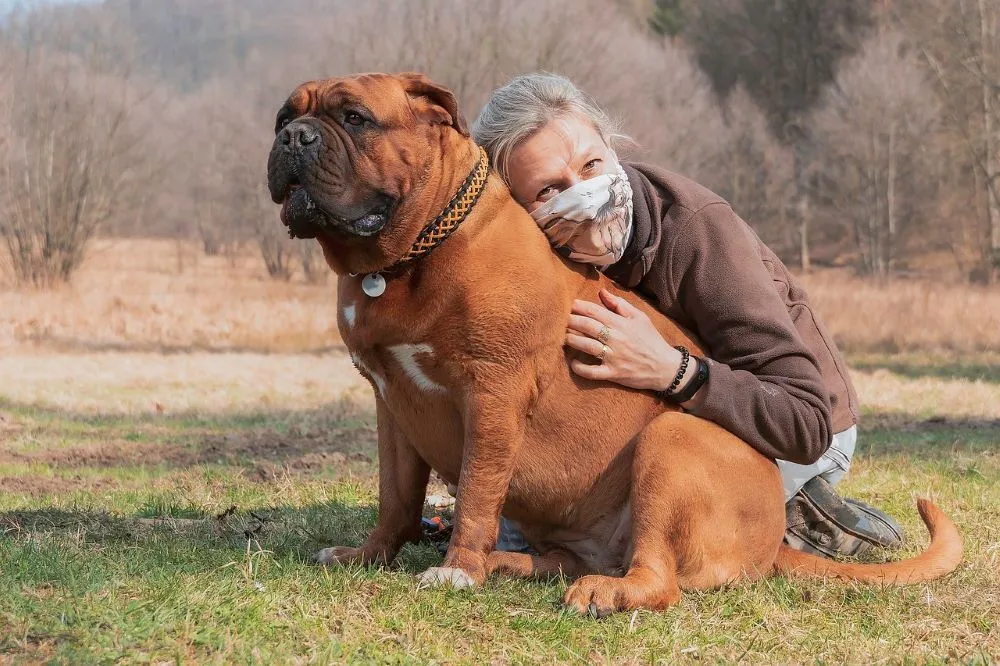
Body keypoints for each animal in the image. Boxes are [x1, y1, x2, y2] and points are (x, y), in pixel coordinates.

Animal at [266, 71, 960, 612]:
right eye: (285, 115)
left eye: (353, 118)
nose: (292, 137)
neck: (405, 260)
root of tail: (771, 544)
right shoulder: (390, 401)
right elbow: (395, 497)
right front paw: (369, 554)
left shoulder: (491, 392)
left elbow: (478, 493)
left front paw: (456, 567)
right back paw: (515, 565)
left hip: (669, 444)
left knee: (659, 579)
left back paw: (595, 588)